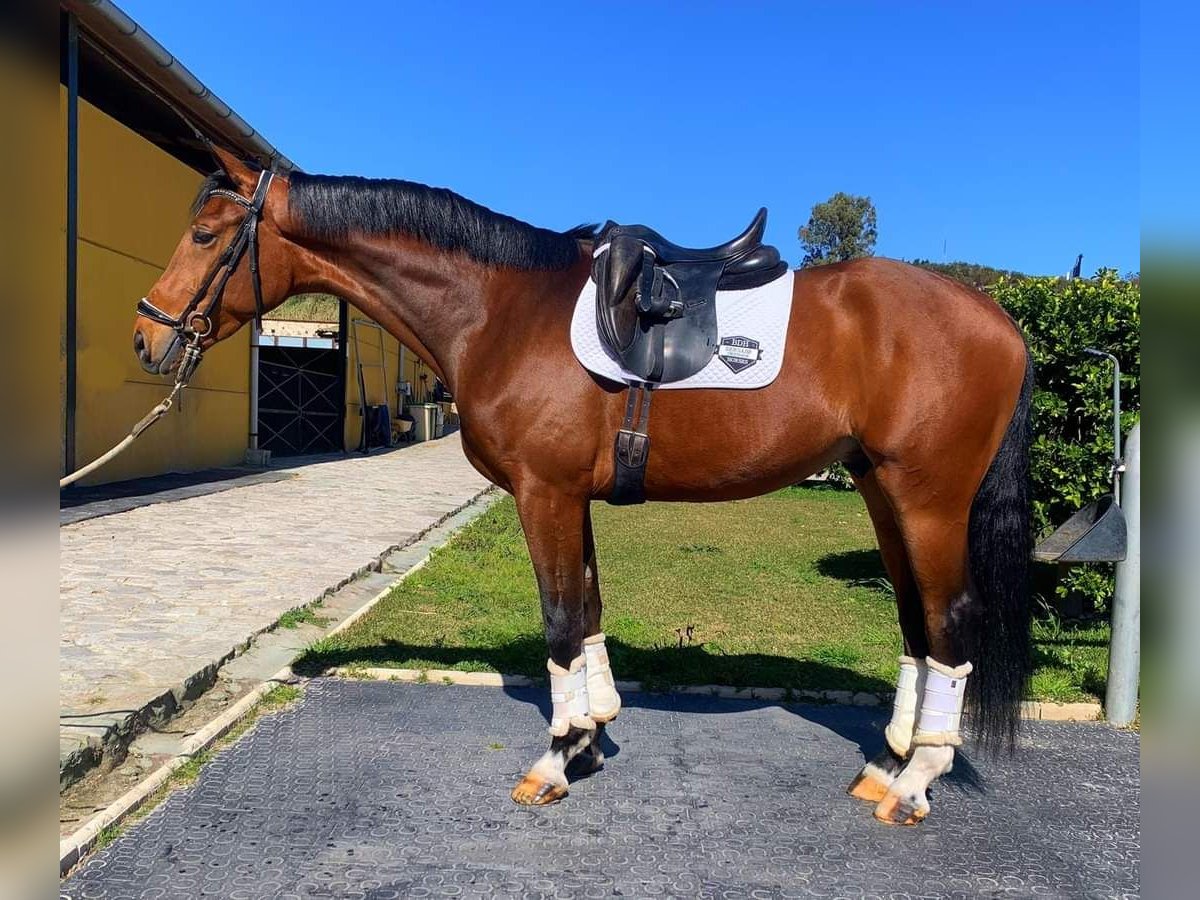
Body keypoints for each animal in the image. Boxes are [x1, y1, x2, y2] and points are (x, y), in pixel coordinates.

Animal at [131, 146, 1032, 825]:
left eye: (206, 235)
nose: (147, 336)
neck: (502, 309)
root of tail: (1000, 321)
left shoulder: (545, 494)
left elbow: (561, 621)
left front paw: (556, 759)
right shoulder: (573, 499)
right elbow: (590, 612)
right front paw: (592, 738)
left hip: (928, 500)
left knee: (950, 624)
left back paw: (914, 784)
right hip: (883, 492)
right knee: (916, 625)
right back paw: (887, 764)